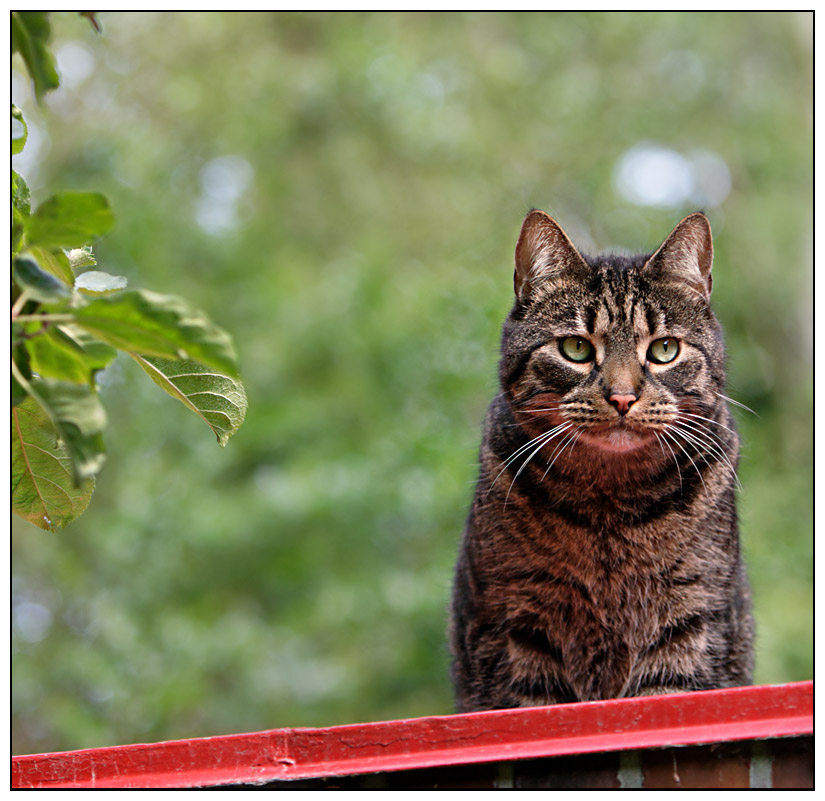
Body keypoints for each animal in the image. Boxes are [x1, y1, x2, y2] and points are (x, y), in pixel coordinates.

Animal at [450, 209, 752, 708]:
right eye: (576, 348)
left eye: (665, 349)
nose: (623, 397)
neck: (608, 504)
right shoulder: (516, 624)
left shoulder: (691, 617)